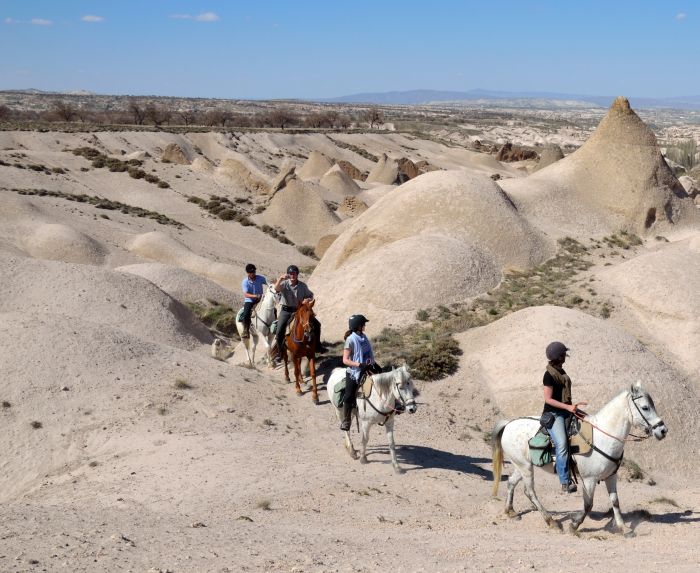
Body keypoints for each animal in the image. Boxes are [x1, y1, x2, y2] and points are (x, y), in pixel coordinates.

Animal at [492, 380, 668, 536]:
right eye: (645, 407)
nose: (663, 430)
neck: (602, 436)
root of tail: (508, 424)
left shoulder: (611, 476)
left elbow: (616, 502)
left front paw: (624, 528)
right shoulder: (589, 479)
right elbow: (588, 504)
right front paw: (574, 525)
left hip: (521, 465)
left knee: (511, 482)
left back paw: (510, 511)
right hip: (525, 467)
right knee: (530, 492)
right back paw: (551, 522)